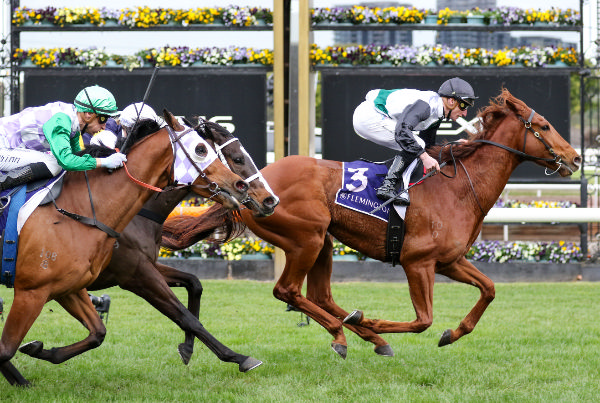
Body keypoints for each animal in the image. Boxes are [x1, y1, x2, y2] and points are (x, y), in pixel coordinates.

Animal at [0, 111, 251, 388]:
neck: (81, 211)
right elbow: (185, 316)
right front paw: (237, 357)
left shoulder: (68, 286)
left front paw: (38, 350)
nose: (242, 186)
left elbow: (98, 332)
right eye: (201, 149)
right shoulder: (37, 289)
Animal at [163, 90, 580, 360]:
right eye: (544, 126)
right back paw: (345, 333)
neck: (459, 187)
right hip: (306, 237)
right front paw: (378, 322)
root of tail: (253, 186)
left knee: (319, 296)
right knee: (288, 291)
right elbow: (423, 320)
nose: (575, 158)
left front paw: (452, 333)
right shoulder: (418, 262)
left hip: (323, 241)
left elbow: (489, 289)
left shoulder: (449, 261)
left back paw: (361, 331)